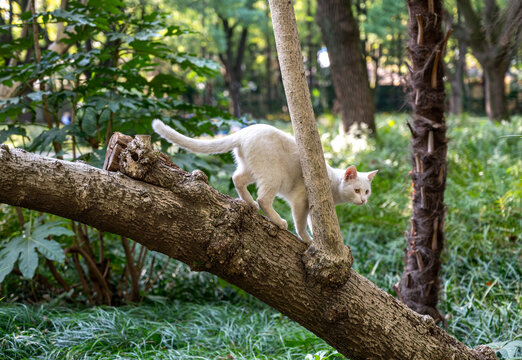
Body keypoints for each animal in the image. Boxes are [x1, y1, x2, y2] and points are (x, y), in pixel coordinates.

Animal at [152, 121, 376, 245]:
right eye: (357, 190)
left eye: (367, 192)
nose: (364, 201)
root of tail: (244, 131)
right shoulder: (300, 201)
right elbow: (301, 224)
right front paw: (307, 240)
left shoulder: (315, 209)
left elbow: (314, 224)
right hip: (272, 176)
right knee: (264, 199)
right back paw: (277, 220)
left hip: (252, 170)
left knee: (237, 179)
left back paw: (249, 203)